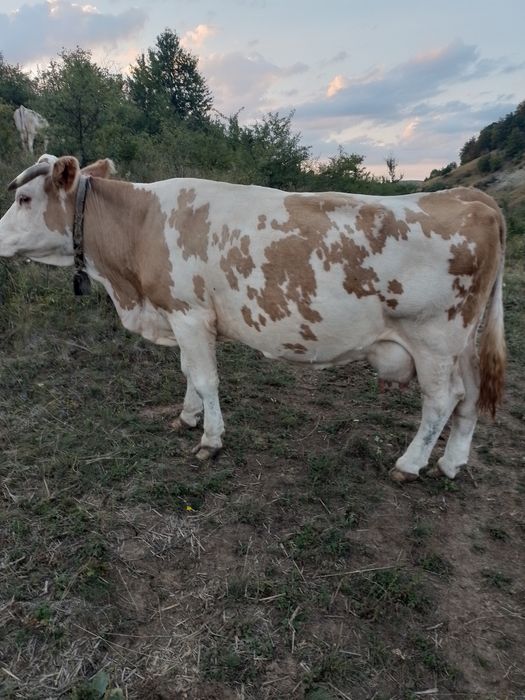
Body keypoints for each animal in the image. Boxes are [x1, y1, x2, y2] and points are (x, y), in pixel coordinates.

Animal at [0, 154, 506, 482]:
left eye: (24, 198)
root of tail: (469, 197)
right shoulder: (181, 317)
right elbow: (188, 371)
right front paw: (186, 417)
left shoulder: (189, 313)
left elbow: (205, 378)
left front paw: (210, 440)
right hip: (463, 341)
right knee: (470, 398)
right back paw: (451, 464)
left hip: (434, 339)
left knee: (442, 401)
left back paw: (408, 465)